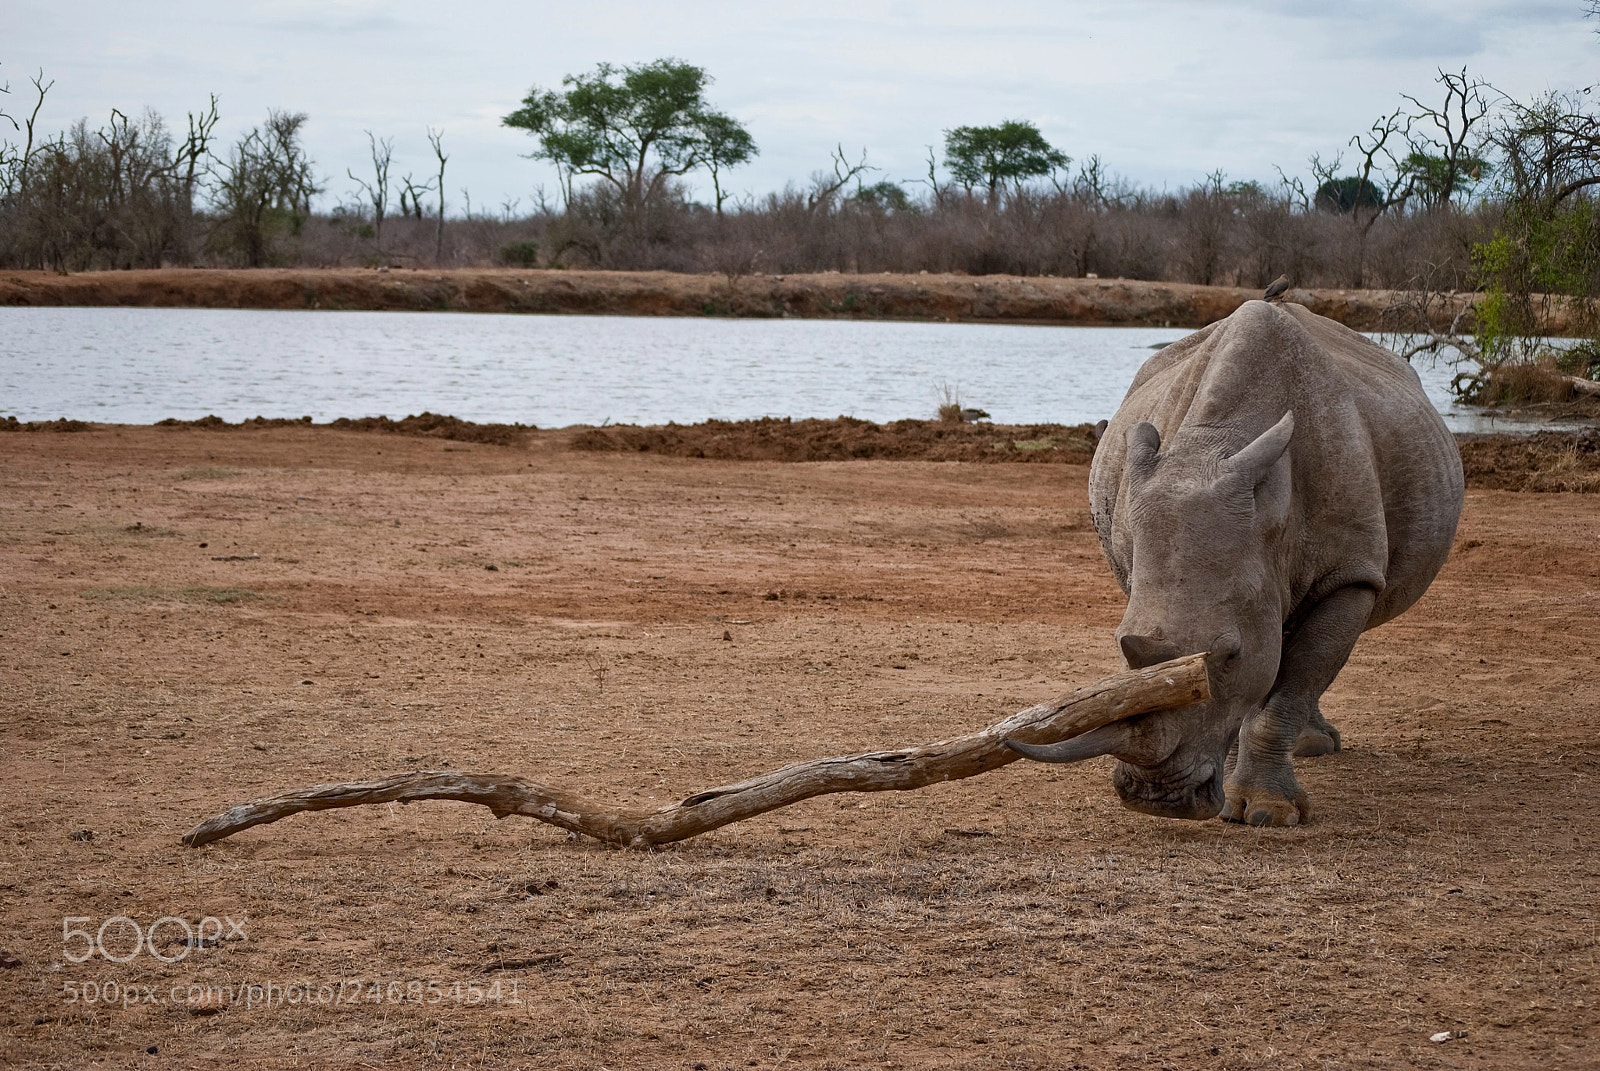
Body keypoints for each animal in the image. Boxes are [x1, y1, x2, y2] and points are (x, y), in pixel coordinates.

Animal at [1008, 300, 1464, 826]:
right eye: (1122, 648)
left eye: (1230, 654)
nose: (1155, 799)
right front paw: (1234, 794)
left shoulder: (1350, 575)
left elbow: (1289, 683)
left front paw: (1270, 813)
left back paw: (1312, 747)